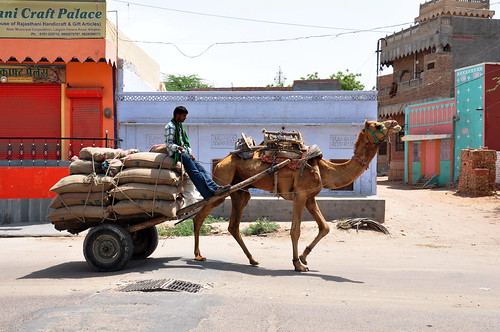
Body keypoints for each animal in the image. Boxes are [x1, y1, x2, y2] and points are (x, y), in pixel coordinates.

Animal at [191, 120, 402, 272]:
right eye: (378, 125)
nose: (396, 124)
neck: (324, 169)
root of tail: (221, 161)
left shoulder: (310, 197)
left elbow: (325, 227)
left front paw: (303, 257)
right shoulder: (300, 195)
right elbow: (295, 230)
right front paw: (297, 264)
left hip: (240, 191)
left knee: (233, 225)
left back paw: (252, 259)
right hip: (223, 181)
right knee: (200, 215)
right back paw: (198, 255)